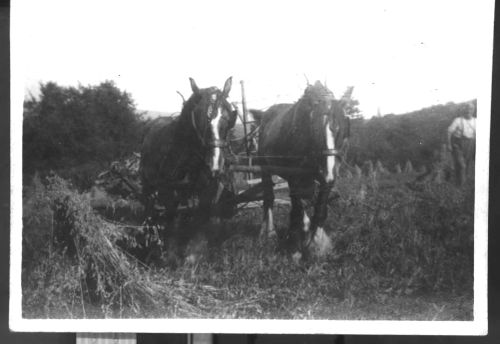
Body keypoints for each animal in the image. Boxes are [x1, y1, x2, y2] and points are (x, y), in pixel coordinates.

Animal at [139, 78, 236, 245]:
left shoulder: (206, 195)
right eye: (199, 119)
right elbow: (171, 228)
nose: (215, 166)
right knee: (150, 210)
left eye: (228, 119)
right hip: (148, 185)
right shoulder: (169, 194)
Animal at [250, 81, 352, 260]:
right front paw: (296, 248)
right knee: (269, 198)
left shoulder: (325, 178)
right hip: (265, 167)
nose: (327, 171)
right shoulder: (295, 176)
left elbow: (319, 207)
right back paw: (269, 233)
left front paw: (317, 244)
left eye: (343, 129)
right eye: (315, 129)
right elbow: (299, 208)